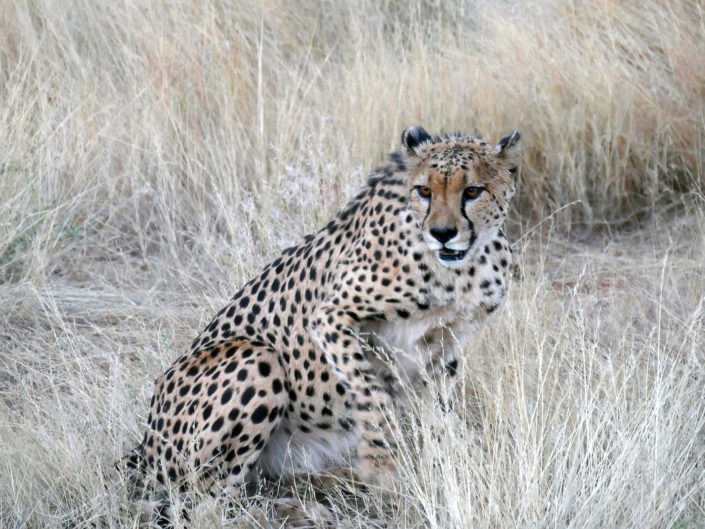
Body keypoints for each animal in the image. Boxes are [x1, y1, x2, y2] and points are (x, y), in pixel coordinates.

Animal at [125, 125, 521, 506]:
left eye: (473, 191)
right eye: (424, 190)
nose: (442, 234)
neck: (460, 270)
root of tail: (143, 447)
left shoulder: (444, 343)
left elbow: (440, 417)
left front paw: (446, 466)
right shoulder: (331, 316)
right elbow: (371, 395)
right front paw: (381, 462)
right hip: (256, 357)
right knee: (208, 500)